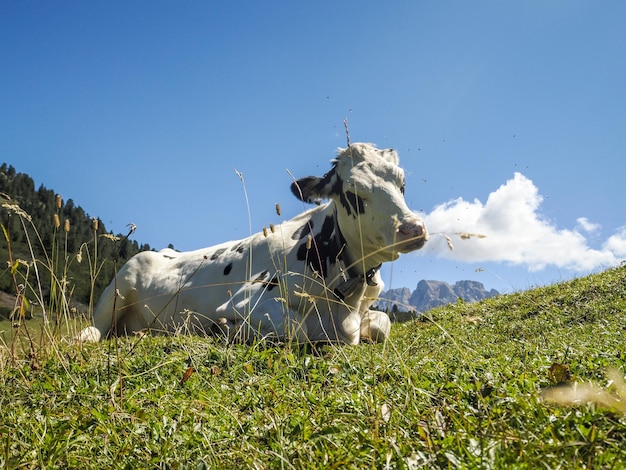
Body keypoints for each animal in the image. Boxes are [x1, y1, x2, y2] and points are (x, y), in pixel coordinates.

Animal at [78, 143, 426, 346]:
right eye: (352, 193)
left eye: (402, 184)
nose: (413, 228)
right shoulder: (247, 299)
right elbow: (299, 327)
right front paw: (229, 330)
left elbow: (382, 324)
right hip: (118, 288)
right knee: (95, 328)